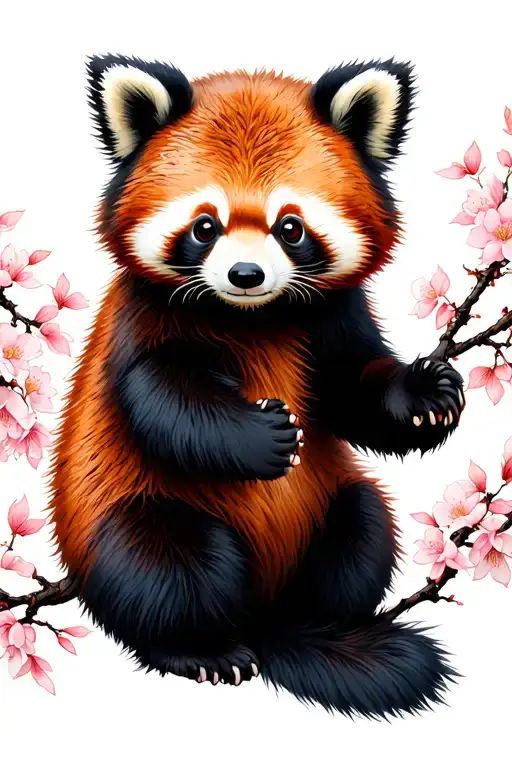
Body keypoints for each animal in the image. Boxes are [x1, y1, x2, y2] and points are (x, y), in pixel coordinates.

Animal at [50, 54, 464, 719]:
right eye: (205, 226)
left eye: (290, 226)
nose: (246, 274)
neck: (251, 317)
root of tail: (258, 617)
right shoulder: (142, 322)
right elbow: (163, 397)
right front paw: (263, 437)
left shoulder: (334, 319)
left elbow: (354, 391)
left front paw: (424, 396)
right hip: (138, 514)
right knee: (164, 566)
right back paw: (200, 651)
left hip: (330, 508)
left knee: (363, 526)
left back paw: (322, 629)